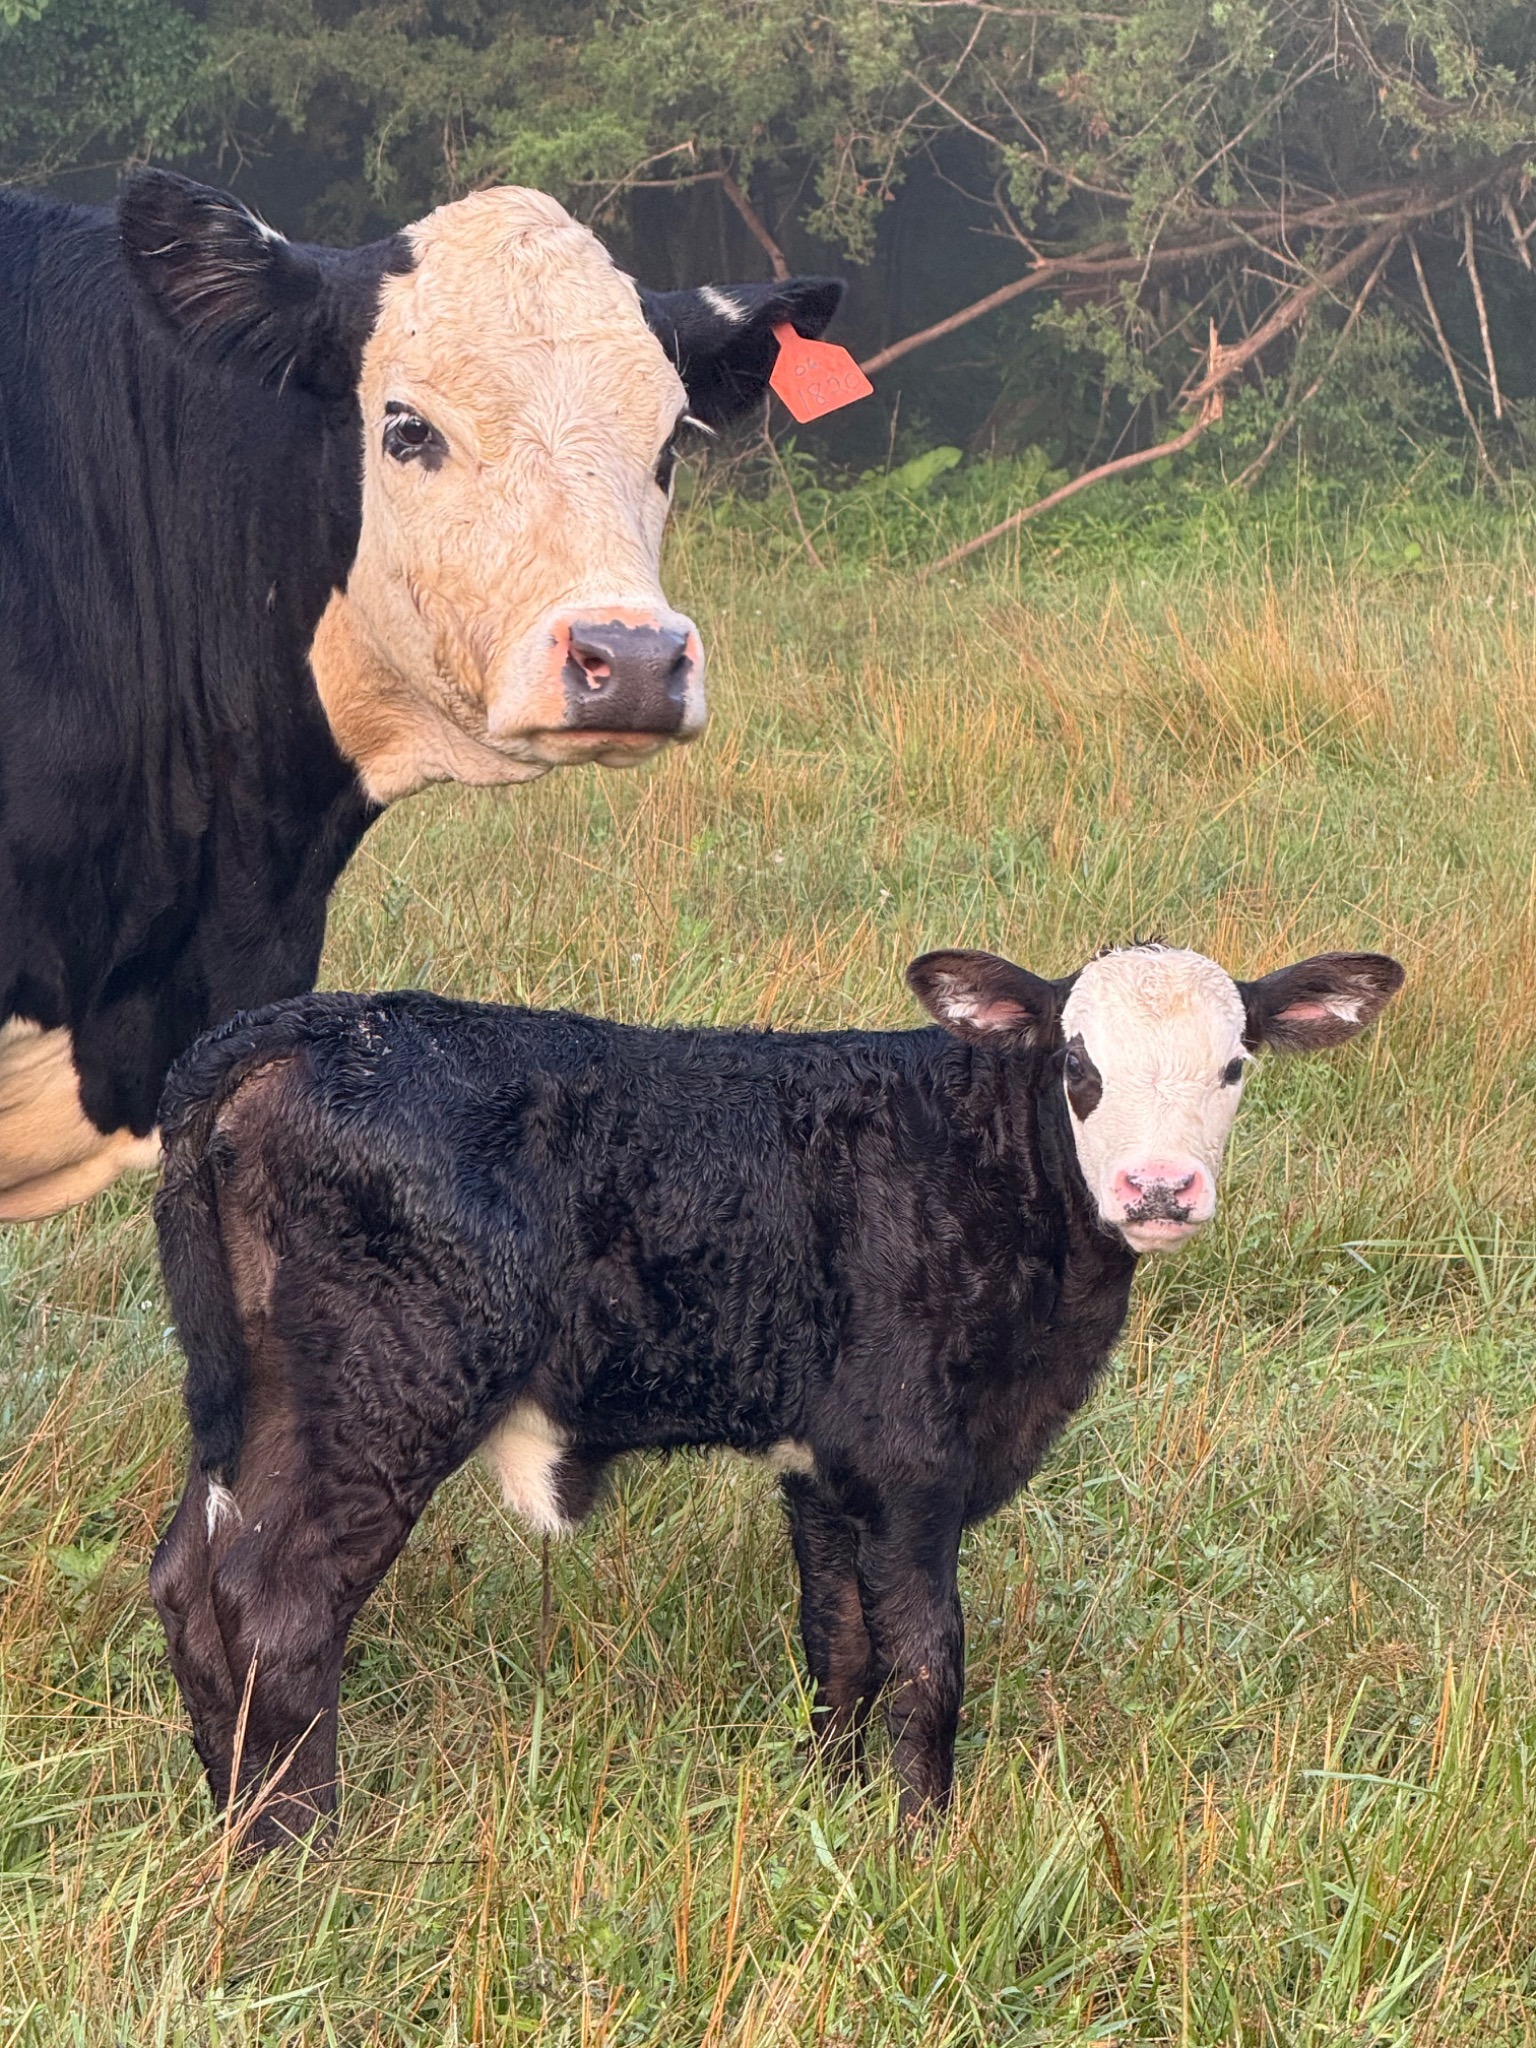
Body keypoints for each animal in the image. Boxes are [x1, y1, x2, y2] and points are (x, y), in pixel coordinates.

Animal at [147, 939, 1403, 1848]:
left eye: (1235, 1066)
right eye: (1078, 1066)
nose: (1159, 1187)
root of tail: (314, 1024)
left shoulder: (828, 1466)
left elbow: (839, 1642)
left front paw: (832, 1805)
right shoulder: (910, 1459)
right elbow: (928, 1656)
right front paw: (923, 1844)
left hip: (266, 1392)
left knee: (188, 1580)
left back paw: (235, 1833)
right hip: (391, 1389)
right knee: (277, 1604)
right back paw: (311, 1852)